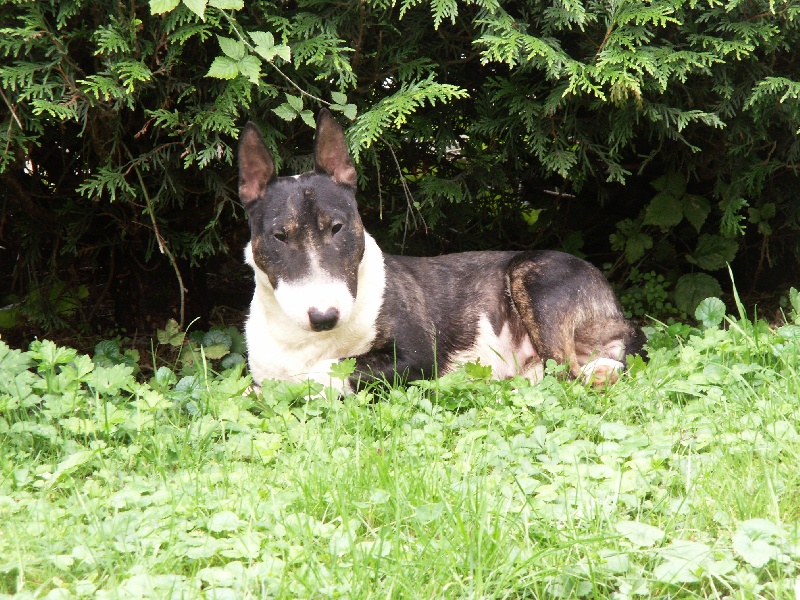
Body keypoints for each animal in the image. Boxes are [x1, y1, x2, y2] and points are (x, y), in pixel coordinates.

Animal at [238, 110, 645, 392]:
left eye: (337, 227)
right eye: (279, 236)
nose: (325, 316)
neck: (309, 339)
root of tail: (615, 310)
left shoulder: (417, 357)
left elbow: (329, 370)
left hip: (535, 277)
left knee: (571, 372)